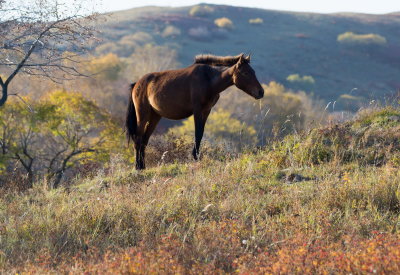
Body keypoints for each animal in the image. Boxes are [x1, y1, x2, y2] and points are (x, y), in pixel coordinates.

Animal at [125, 53, 262, 170]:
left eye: (254, 72)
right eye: (245, 73)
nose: (261, 92)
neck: (208, 79)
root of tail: (136, 84)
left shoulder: (206, 111)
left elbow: (200, 134)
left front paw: (196, 156)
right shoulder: (197, 111)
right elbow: (198, 133)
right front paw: (195, 157)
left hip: (155, 116)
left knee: (144, 140)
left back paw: (143, 166)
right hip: (142, 114)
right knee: (138, 138)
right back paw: (137, 166)